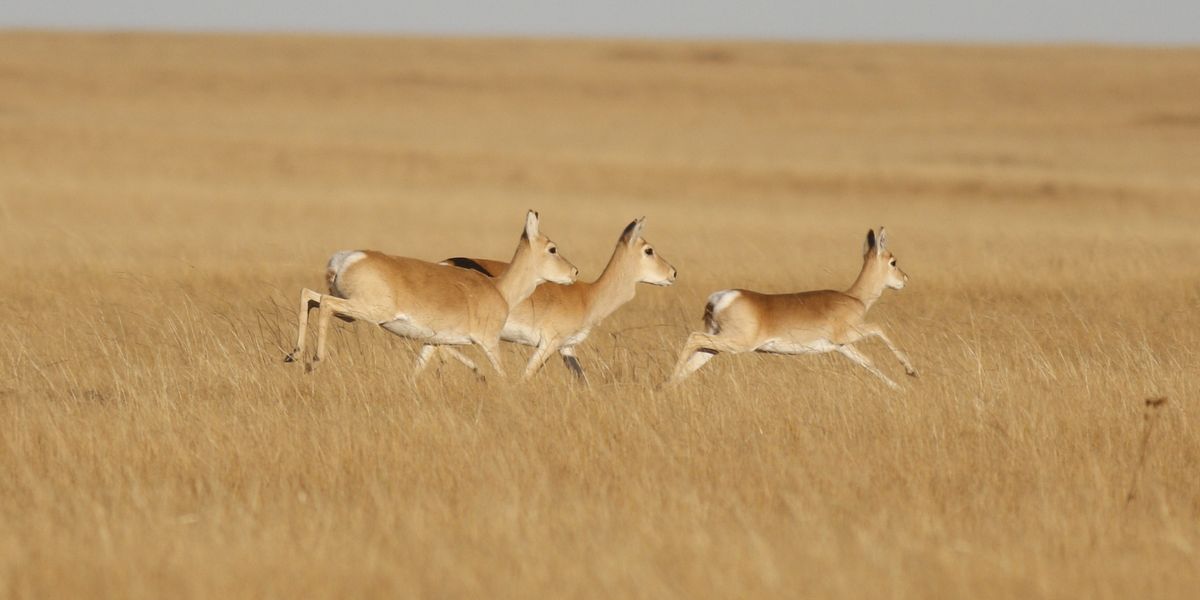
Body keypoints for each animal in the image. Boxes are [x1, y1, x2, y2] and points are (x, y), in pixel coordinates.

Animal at [284, 211, 578, 378]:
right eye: (552, 248)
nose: (575, 271)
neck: (499, 289)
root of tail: (348, 258)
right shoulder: (489, 342)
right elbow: (503, 375)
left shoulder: (432, 342)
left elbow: (417, 371)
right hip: (366, 312)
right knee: (324, 303)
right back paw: (314, 360)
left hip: (350, 313)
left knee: (309, 295)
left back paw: (294, 355)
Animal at [440, 217, 677, 382]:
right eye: (649, 250)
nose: (673, 273)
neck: (588, 297)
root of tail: (445, 263)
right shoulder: (548, 343)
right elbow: (526, 376)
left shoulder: (567, 348)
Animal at [666, 227, 917, 388]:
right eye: (893, 261)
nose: (905, 278)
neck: (854, 297)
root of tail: (720, 298)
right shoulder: (848, 334)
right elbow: (879, 327)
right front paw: (911, 370)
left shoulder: (842, 346)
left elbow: (868, 362)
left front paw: (900, 388)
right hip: (737, 343)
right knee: (693, 337)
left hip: (717, 345)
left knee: (694, 357)